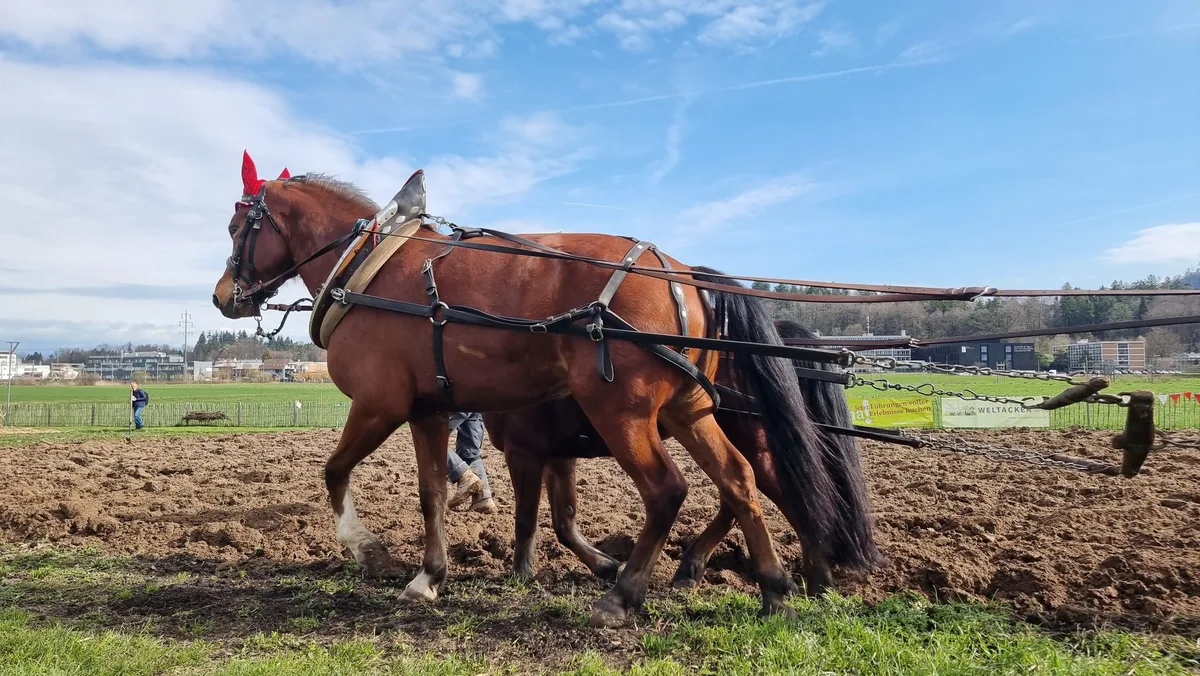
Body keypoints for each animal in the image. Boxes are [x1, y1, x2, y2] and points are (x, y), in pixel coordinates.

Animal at [482, 319, 879, 594]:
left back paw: (816, 576)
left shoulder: (524, 453)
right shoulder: (559, 456)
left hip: (748, 439)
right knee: (738, 494)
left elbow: (526, 519)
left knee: (782, 492)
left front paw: (521, 573)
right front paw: (603, 566)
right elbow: (564, 521)